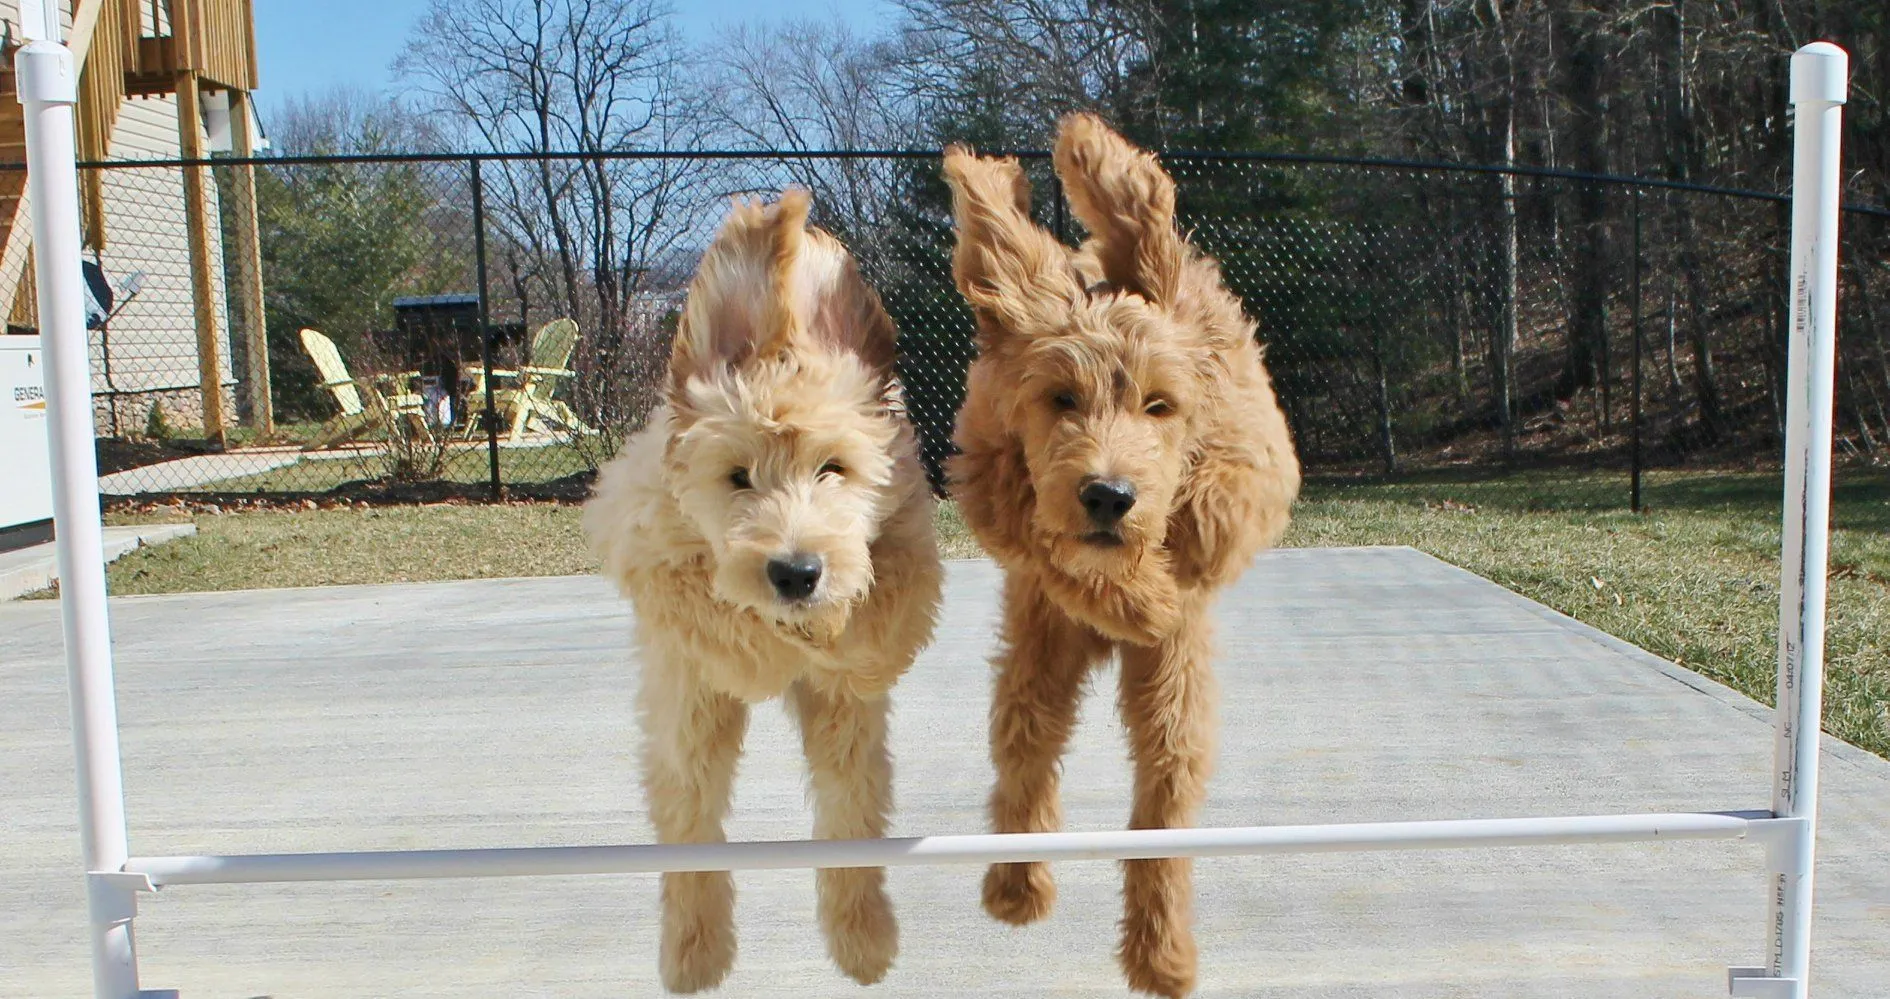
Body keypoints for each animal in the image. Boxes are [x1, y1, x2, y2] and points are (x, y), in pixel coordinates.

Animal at [585, 186, 941, 989]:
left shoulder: (905, 543)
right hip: (685, 715)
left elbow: (872, 661)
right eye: (737, 477)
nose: (796, 572)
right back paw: (694, 948)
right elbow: (720, 625)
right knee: (689, 806)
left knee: (848, 792)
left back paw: (861, 935)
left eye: (834, 468)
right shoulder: (652, 548)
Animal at [941, 112, 1300, 989]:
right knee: (1026, 734)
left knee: (1165, 785)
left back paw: (1161, 950)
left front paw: (1149, 580)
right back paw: (1018, 883)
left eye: (1159, 404)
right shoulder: (994, 485)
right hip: (1037, 649)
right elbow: (1054, 553)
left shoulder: (1251, 466)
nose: (1108, 494)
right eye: (1060, 398)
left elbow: (1207, 522)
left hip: (1173, 684)